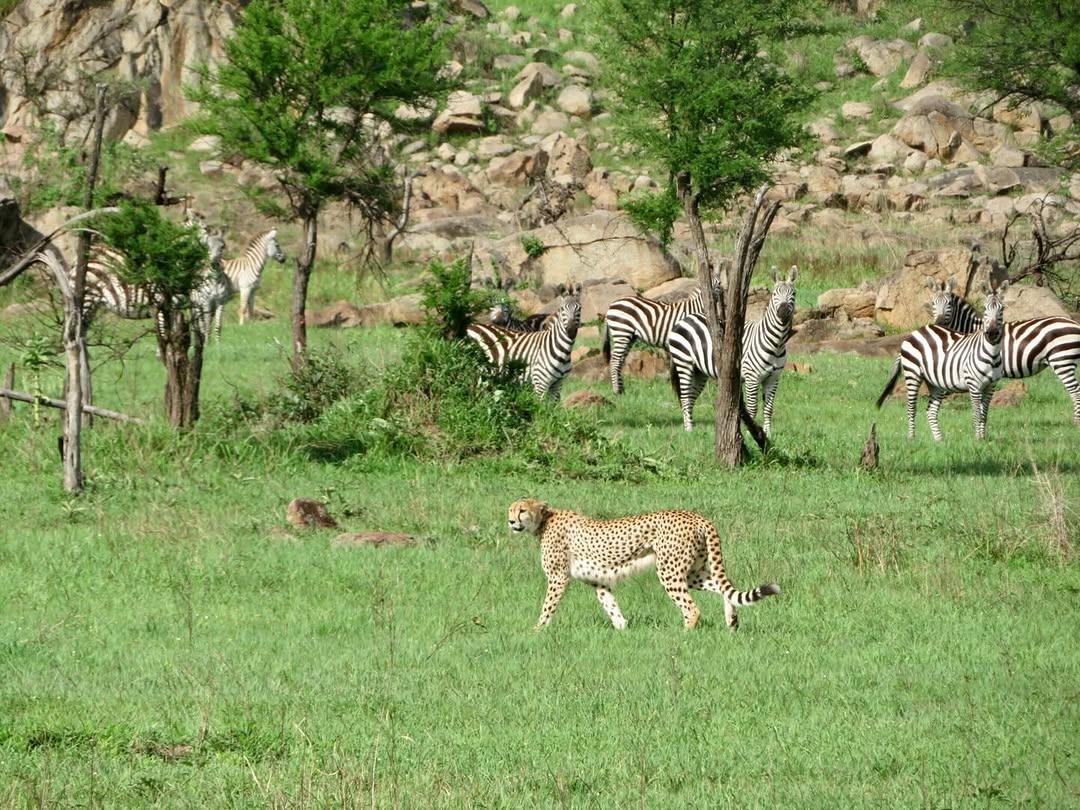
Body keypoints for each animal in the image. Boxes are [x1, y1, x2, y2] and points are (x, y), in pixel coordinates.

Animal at [507, 498, 780, 630]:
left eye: (522, 510)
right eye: (510, 510)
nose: (510, 521)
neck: (544, 520)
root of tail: (697, 516)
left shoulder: (557, 578)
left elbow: (547, 606)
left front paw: (537, 630)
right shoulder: (599, 581)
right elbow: (611, 606)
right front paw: (622, 629)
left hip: (670, 572)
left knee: (691, 609)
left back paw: (683, 636)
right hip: (693, 572)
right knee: (725, 588)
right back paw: (731, 621)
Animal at [667, 266, 798, 434]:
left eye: (793, 294)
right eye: (775, 294)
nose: (782, 312)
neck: (777, 343)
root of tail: (685, 319)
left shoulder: (773, 379)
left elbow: (768, 409)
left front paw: (768, 434)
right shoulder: (751, 377)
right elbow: (752, 409)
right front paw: (752, 433)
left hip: (699, 371)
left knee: (690, 397)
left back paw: (693, 429)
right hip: (684, 363)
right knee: (684, 397)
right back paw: (688, 430)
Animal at [876, 282, 1009, 440]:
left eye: (1002, 309)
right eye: (985, 308)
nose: (992, 333)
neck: (992, 353)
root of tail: (916, 332)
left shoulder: (990, 387)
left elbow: (984, 414)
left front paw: (982, 438)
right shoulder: (974, 385)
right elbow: (977, 414)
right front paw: (977, 439)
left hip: (936, 382)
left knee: (931, 410)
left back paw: (939, 440)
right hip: (912, 374)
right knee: (911, 408)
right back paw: (911, 438)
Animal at [927, 276, 1080, 424]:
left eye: (949, 304)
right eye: (933, 304)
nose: (939, 323)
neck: (973, 329)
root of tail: (1074, 323)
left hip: (1062, 360)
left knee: (1075, 391)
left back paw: (1075, 424)